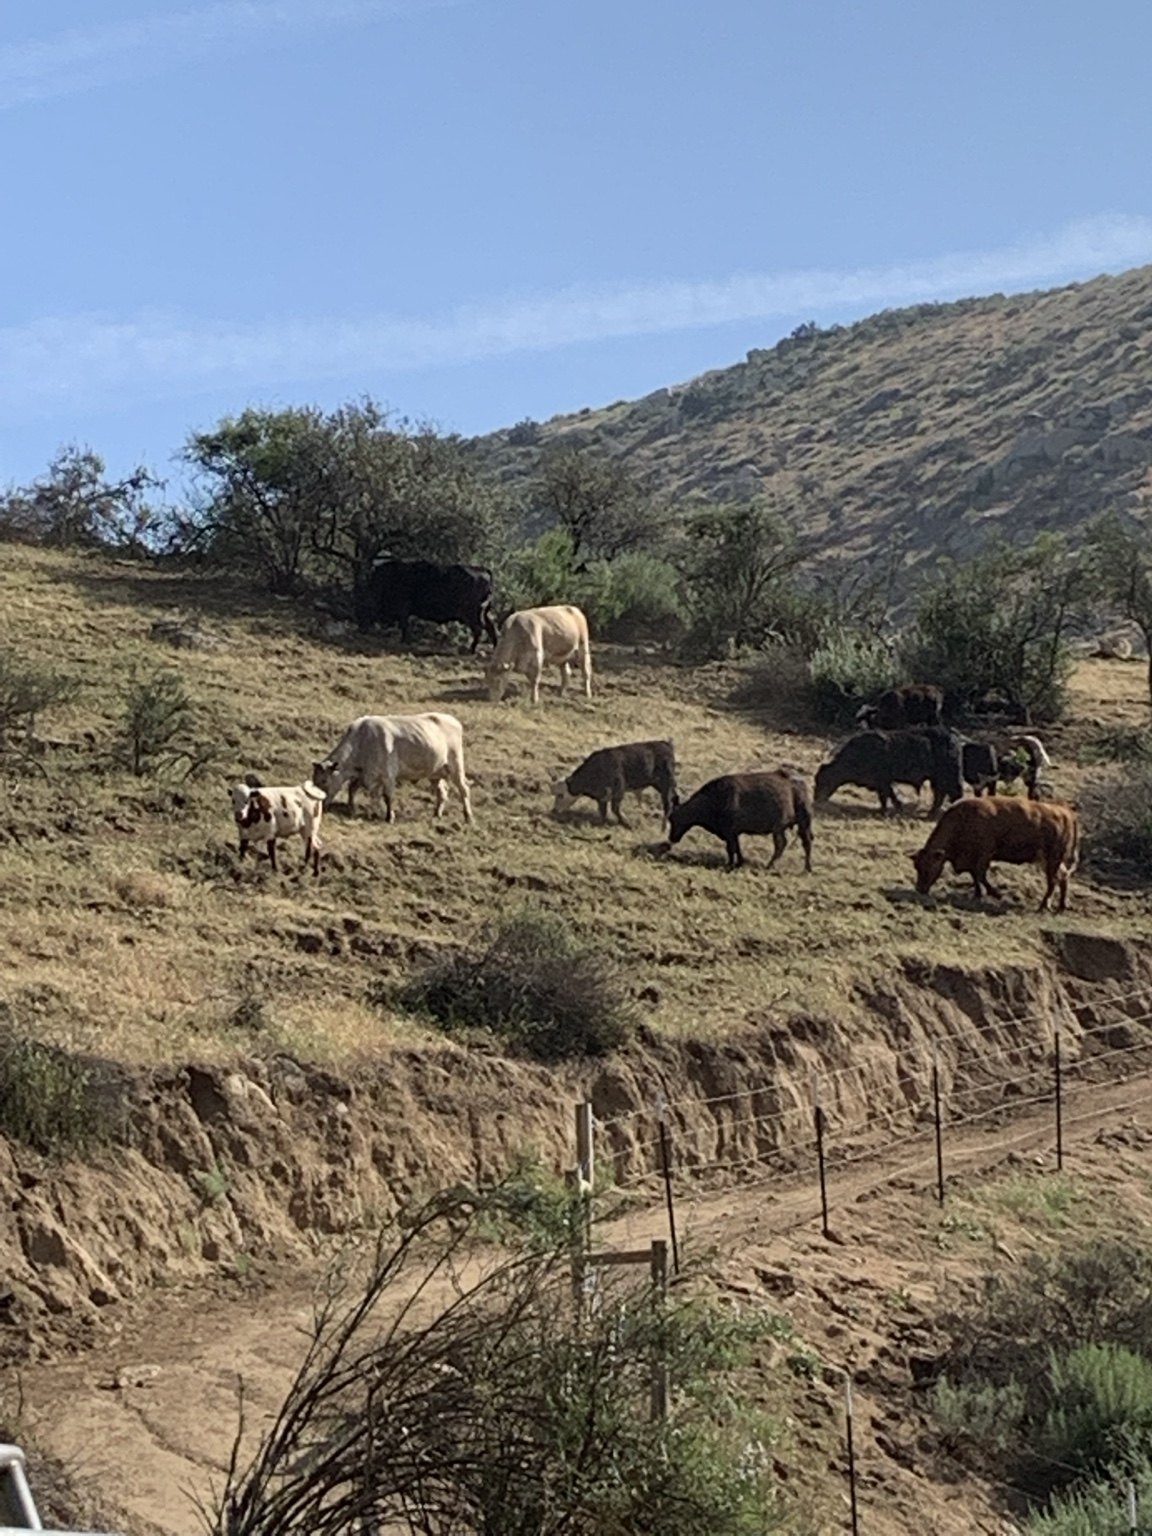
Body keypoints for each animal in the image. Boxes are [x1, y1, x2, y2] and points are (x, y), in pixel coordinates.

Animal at [313, 713, 473, 823]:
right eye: (314, 781)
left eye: (324, 781)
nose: (318, 806)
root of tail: (451, 719)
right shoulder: (364, 775)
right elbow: (354, 789)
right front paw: (355, 810)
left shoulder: (388, 775)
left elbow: (387, 796)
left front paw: (389, 817)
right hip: (435, 772)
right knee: (442, 792)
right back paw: (437, 814)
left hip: (455, 765)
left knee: (463, 789)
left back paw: (468, 816)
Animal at [356, 559, 498, 653]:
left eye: (364, 606)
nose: (361, 628)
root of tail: (483, 570)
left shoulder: (403, 610)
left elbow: (404, 625)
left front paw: (404, 641)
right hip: (483, 613)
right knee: (490, 627)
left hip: (471, 614)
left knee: (479, 629)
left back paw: (471, 650)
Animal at [664, 769, 813, 871]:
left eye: (674, 819)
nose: (672, 838)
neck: (715, 800)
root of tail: (799, 783)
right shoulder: (733, 833)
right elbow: (737, 848)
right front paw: (739, 863)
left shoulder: (729, 832)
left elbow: (731, 849)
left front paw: (730, 865)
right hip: (786, 827)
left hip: (797, 823)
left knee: (795, 843)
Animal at [815, 726, 964, 814]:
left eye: (824, 781)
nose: (817, 800)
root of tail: (953, 737)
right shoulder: (881, 783)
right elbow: (887, 795)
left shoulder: (883, 781)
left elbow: (887, 795)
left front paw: (891, 809)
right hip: (936, 779)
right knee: (940, 794)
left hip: (947, 777)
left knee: (948, 793)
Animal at [910, 795, 1080, 912]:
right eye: (917, 866)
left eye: (928, 867)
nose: (919, 889)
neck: (963, 819)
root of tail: (1065, 812)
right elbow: (975, 875)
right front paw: (978, 894)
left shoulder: (984, 854)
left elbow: (980, 875)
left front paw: (996, 894)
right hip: (1049, 860)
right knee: (1063, 877)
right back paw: (1062, 905)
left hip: (1053, 859)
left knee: (1053, 880)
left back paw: (1044, 905)